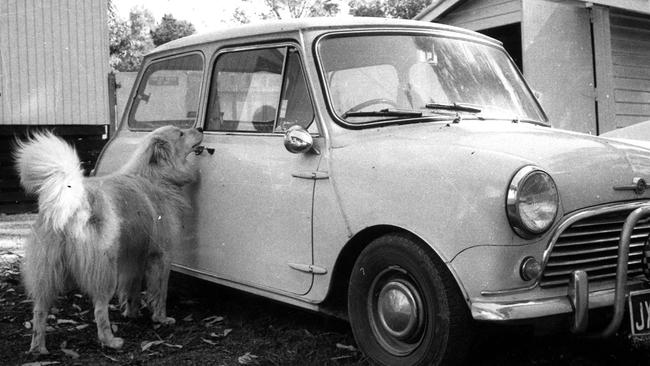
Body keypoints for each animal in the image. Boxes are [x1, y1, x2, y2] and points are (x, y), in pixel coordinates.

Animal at [14, 126, 202, 354]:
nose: (200, 128)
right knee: (99, 310)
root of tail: (69, 200)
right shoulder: (161, 255)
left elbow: (132, 288)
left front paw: (132, 313)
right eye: (181, 133)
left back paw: (38, 348)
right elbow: (160, 292)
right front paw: (161, 318)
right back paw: (111, 341)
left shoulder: (134, 257)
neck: (156, 175)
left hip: (47, 274)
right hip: (105, 271)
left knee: (39, 311)